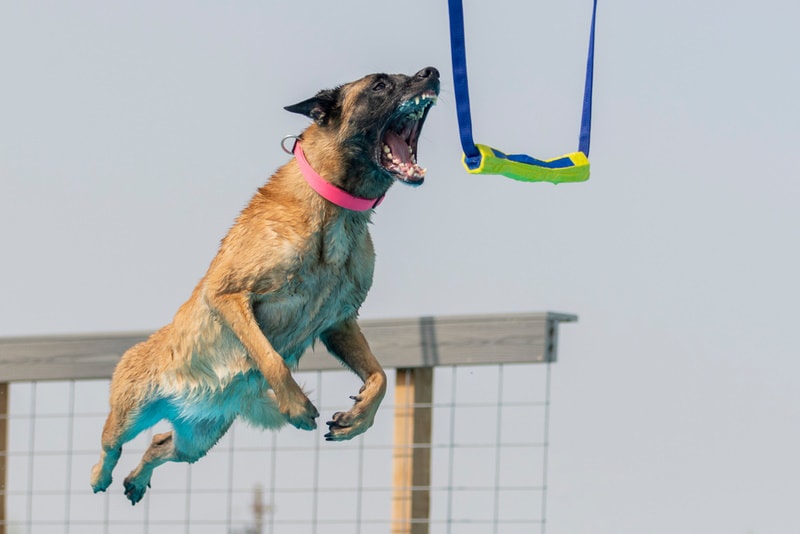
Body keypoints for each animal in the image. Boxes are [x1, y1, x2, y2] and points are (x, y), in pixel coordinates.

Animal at [90, 65, 440, 504]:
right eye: (380, 83)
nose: (433, 72)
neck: (335, 209)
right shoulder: (229, 295)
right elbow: (271, 358)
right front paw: (296, 406)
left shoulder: (339, 323)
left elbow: (379, 377)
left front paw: (358, 417)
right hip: (132, 411)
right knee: (111, 443)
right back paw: (99, 476)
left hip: (198, 439)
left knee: (159, 444)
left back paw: (136, 480)